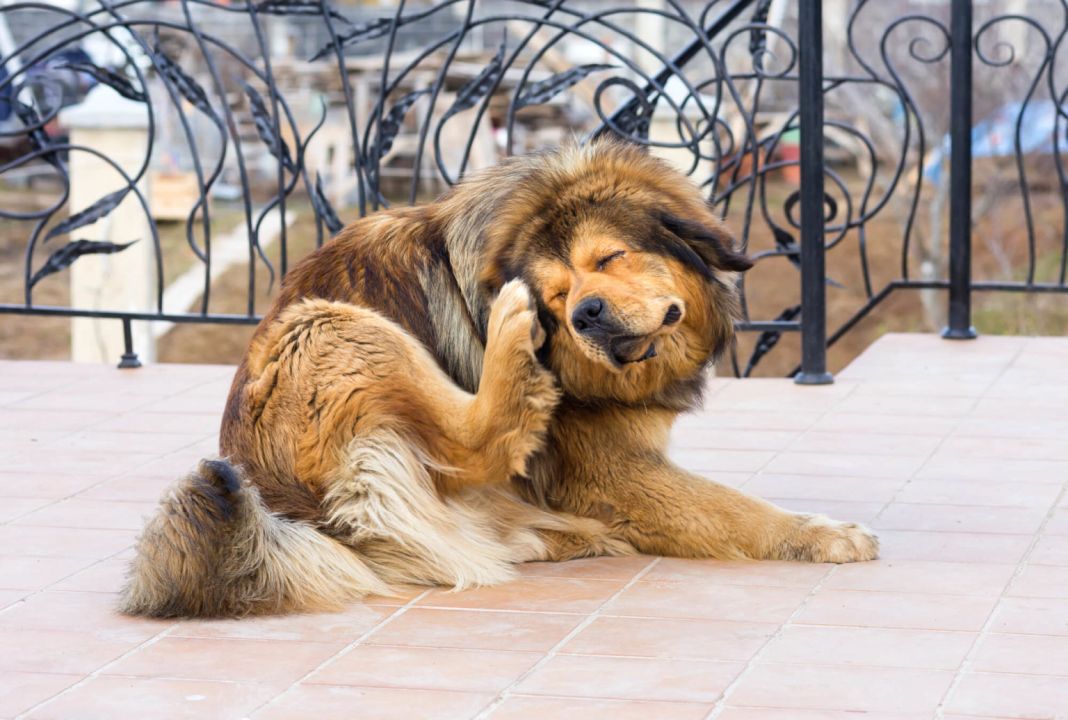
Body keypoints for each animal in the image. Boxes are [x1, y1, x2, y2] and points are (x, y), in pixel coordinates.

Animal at [124, 139, 875, 615]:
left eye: (608, 259)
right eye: (556, 295)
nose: (583, 314)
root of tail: (283, 511)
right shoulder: (612, 471)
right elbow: (735, 509)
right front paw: (822, 535)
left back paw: (560, 534)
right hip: (329, 326)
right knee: (475, 441)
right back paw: (511, 349)